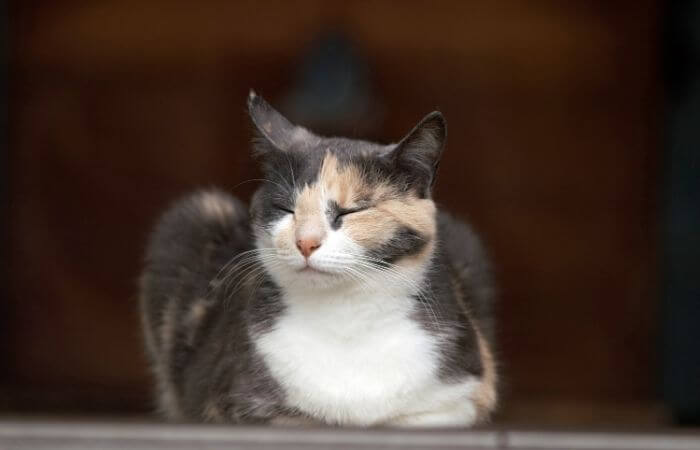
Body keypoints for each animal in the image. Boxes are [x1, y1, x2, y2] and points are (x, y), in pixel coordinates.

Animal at [138, 90, 498, 426]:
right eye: (285, 208)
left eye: (350, 211)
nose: (306, 242)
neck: (345, 317)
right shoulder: (232, 404)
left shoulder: (457, 400)